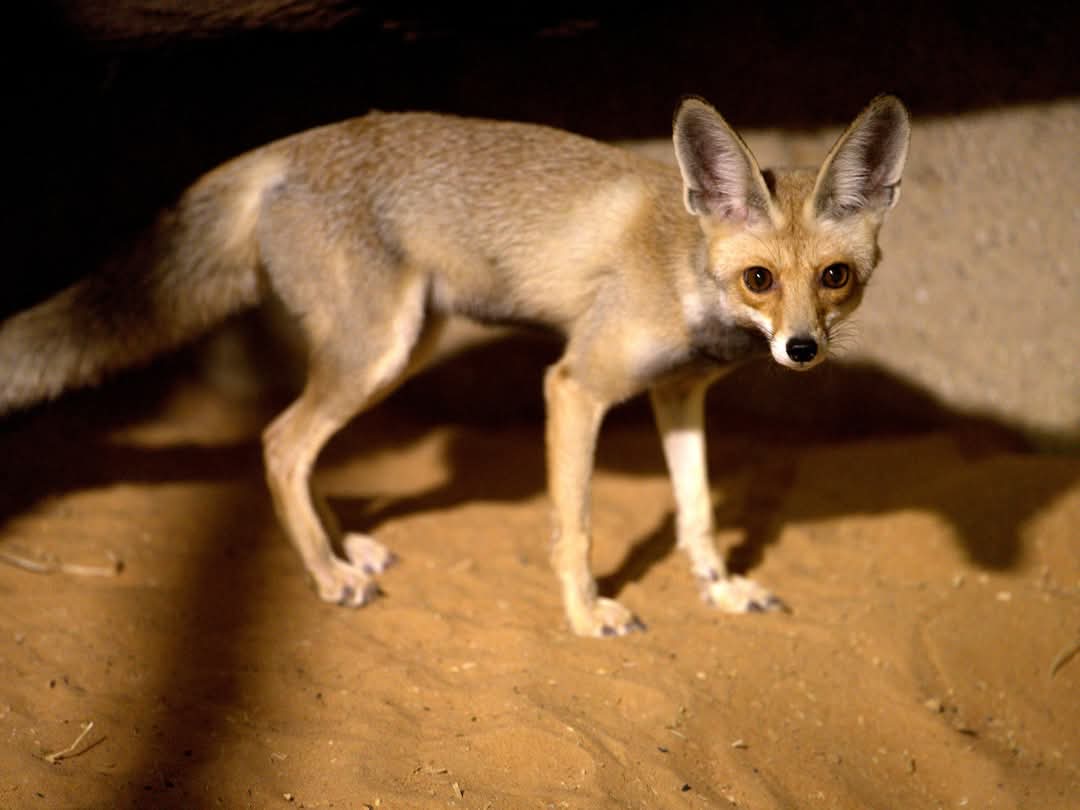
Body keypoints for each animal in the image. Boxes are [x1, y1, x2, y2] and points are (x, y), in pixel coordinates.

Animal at [0, 95, 909, 637]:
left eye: (835, 278)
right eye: (760, 280)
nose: (801, 349)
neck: (686, 268)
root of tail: (292, 143)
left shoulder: (679, 396)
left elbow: (698, 518)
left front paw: (721, 591)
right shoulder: (575, 386)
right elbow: (575, 527)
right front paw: (586, 616)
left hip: (398, 353)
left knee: (299, 447)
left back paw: (342, 548)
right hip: (377, 351)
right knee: (278, 442)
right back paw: (325, 574)